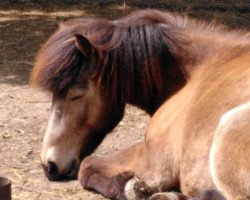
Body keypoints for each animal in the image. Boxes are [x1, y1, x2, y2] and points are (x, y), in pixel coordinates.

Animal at [31, 9, 250, 200]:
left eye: (76, 95)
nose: (49, 165)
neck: (198, 68)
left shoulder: (154, 158)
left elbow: (86, 166)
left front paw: (131, 188)